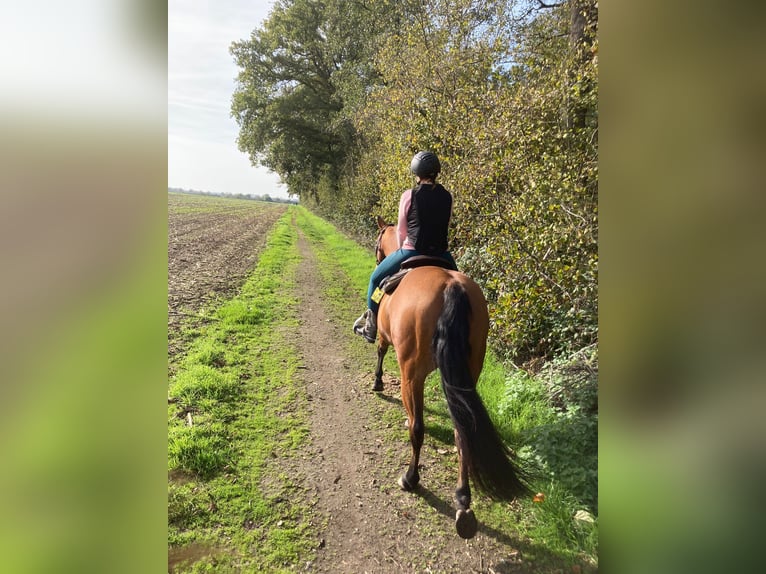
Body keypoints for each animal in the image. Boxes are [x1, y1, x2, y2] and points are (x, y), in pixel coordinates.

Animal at [370, 218, 528, 544]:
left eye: (378, 240)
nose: (376, 257)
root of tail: (452, 288)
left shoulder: (384, 336)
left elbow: (379, 351)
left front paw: (377, 383)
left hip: (411, 373)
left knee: (418, 428)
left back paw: (411, 478)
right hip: (469, 371)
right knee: (462, 430)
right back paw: (463, 502)